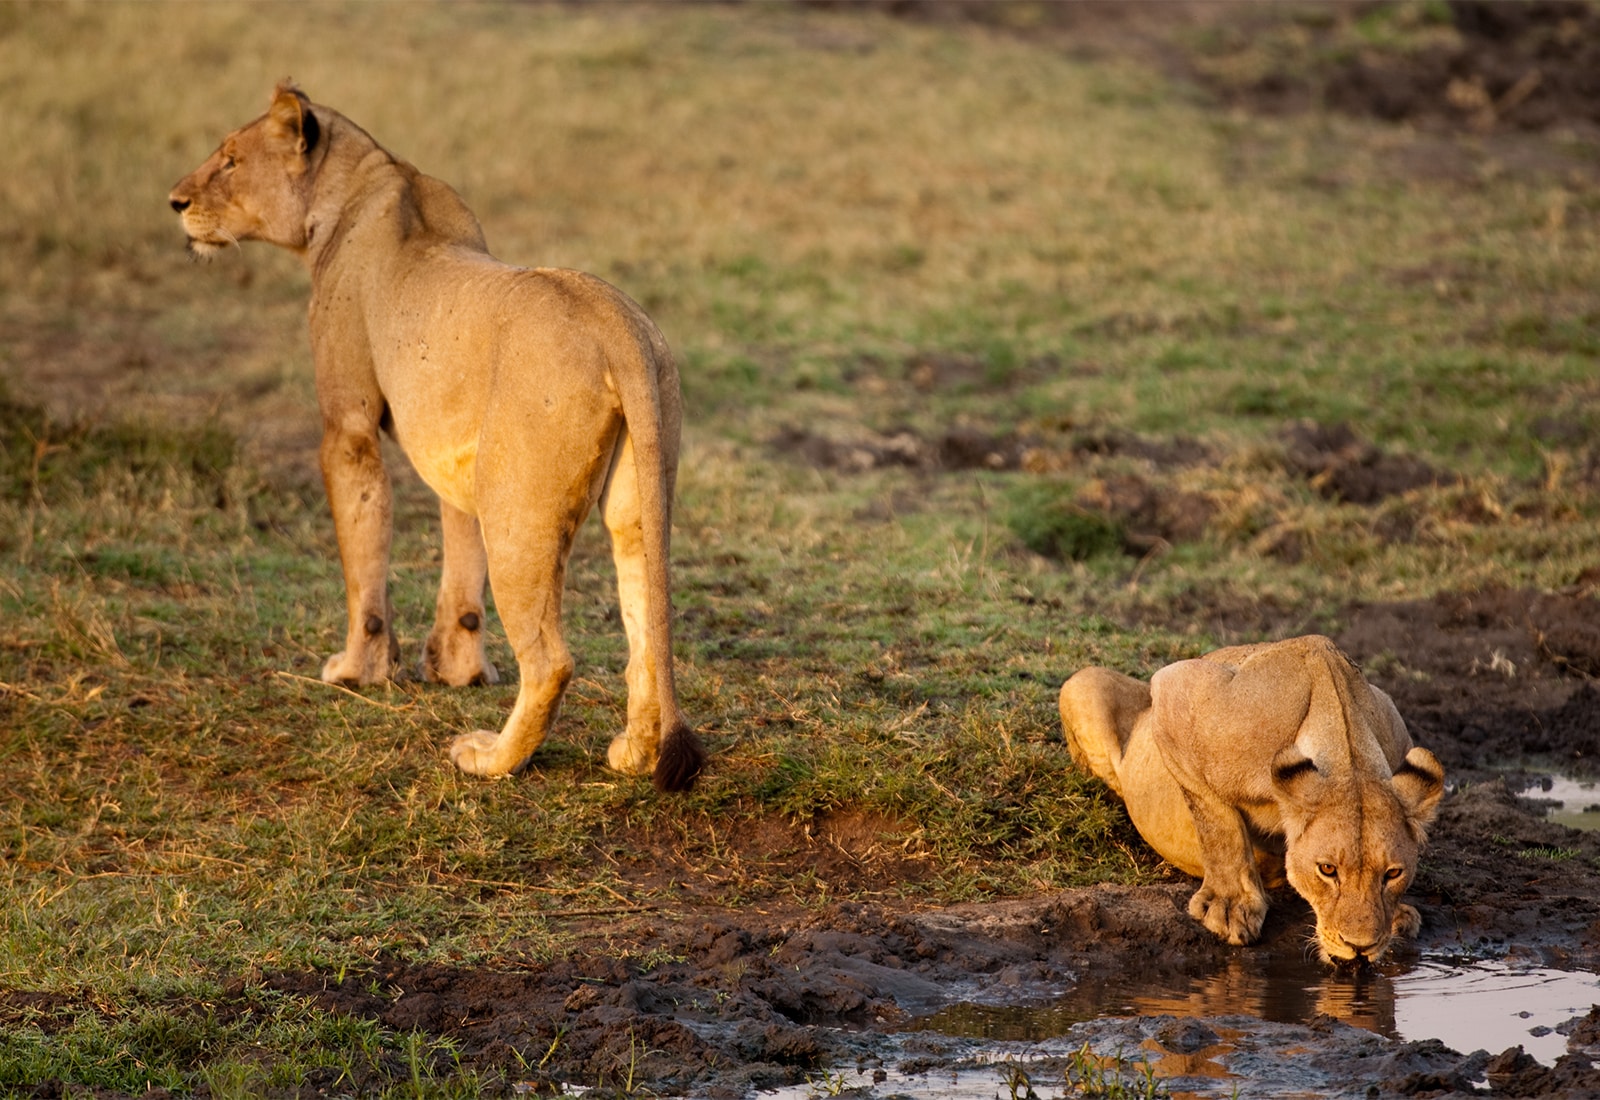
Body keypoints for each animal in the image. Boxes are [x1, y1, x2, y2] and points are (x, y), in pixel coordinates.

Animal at [169, 82, 705, 791]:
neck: (362, 184)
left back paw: (491, 758)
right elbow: (458, 558)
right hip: (633, 495)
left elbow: (363, 557)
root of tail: (612, 320)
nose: (175, 202)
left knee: (551, 661)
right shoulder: (459, 451)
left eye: (230, 160)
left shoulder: (348, 425)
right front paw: (456, 668)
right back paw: (634, 754)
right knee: (645, 626)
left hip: (518, 510)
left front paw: (357, 670)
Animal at [1059, 635, 1444, 963]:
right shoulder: (1175, 689)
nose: (1361, 948)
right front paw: (1229, 907)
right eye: (1327, 870)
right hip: (1081, 683)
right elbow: (1216, 821)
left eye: (1393, 873)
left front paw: (1398, 917)